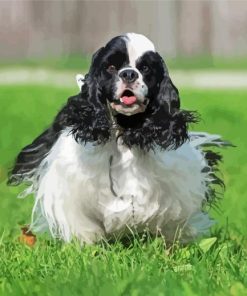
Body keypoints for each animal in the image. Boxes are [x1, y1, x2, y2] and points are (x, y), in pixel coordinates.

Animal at [7, 33, 228, 244]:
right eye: (111, 67)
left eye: (145, 68)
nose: (129, 73)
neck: (124, 131)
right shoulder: (70, 182)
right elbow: (83, 223)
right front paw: (88, 244)